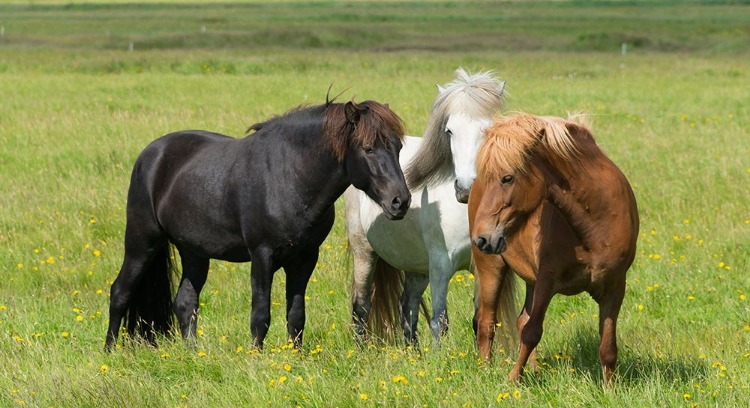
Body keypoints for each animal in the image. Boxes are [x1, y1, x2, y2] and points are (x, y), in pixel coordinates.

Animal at [104, 99, 412, 350]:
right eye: (368, 148)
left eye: (398, 147)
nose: (401, 201)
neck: (290, 176)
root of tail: (151, 154)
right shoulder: (262, 255)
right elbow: (260, 314)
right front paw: (258, 357)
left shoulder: (305, 258)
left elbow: (296, 315)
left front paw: (294, 357)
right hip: (142, 242)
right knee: (120, 292)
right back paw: (110, 351)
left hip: (194, 252)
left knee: (185, 302)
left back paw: (193, 353)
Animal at [346, 68, 506, 342]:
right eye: (449, 130)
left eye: (488, 130)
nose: (465, 189)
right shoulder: (441, 266)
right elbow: (439, 322)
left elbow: (481, 321)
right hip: (364, 251)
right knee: (361, 306)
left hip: (417, 266)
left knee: (407, 308)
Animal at [470, 113, 640, 388]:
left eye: (508, 178)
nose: (482, 238)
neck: (594, 225)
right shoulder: (547, 280)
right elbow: (532, 332)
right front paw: (513, 380)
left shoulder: (615, 287)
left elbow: (607, 346)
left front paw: (610, 389)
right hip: (491, 267)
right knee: (487, 322)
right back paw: (485, 370)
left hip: (529, 278)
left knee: (519, 320)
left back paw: (536, 371)